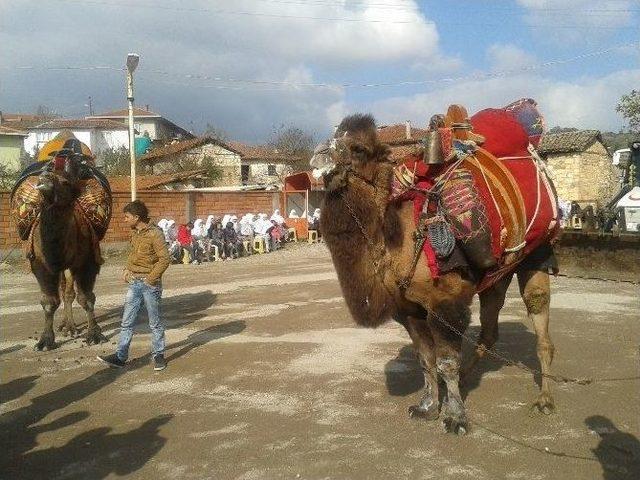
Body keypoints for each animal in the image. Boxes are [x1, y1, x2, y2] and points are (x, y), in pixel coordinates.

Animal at [10, 133, 111, 350]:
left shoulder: (87, 261)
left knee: (69, 291)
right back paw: (66, 325)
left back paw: (70, 326)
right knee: (63, 290)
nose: (44, 180)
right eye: (43, 176)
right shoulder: (40, 263)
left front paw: (94, 334)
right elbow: (49, 301)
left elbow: (87, 298)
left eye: (65, 182)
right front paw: (45, 340)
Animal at [314, 103, 560, 436]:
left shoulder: (446, 302)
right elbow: (425, 360)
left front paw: (455, 418)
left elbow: (446, 362)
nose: (318, 155)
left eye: (358, 148)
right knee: (490, 327)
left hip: (538, 254)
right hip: (498, 274)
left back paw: (545, 399)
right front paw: (428, 407)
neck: (401, 239)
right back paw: (470, 377)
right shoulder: (409, 309)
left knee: (540, 324)